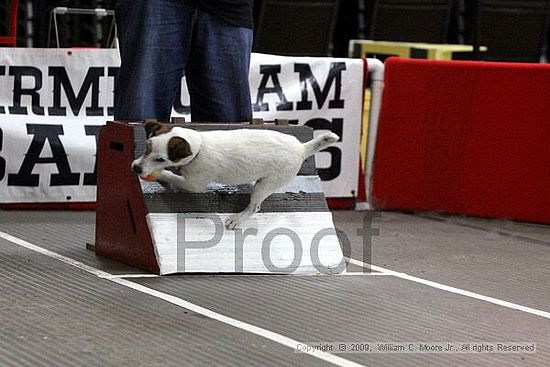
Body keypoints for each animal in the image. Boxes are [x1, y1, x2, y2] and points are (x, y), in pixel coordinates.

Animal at [134, 121, 340, 230]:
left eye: (160, 159)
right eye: (147, 147)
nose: (136, 168)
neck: (199, 147)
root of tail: (301, 149)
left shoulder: (193, 184)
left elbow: (174, 177)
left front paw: (161, 175)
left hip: (266, 185)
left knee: (254, 207)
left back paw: (238, 218)